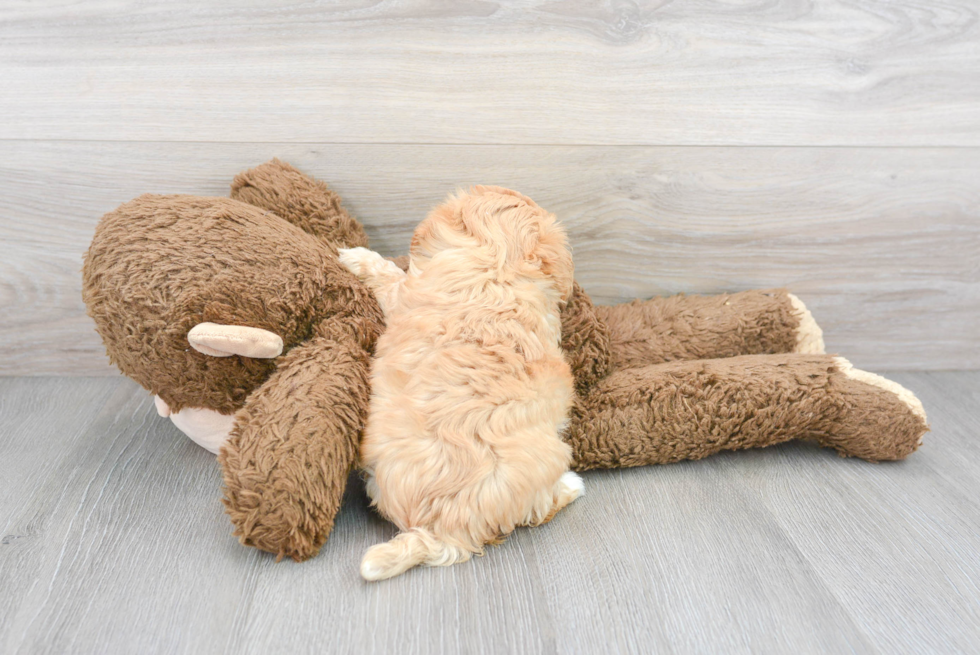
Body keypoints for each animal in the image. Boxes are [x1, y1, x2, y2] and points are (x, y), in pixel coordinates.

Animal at [336, 187, 580, 580]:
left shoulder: (404, 292)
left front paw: (355, 255)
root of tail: (446, 531)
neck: (499, 260)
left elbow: (388, 275)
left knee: (544, 509)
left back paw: (573, 484)